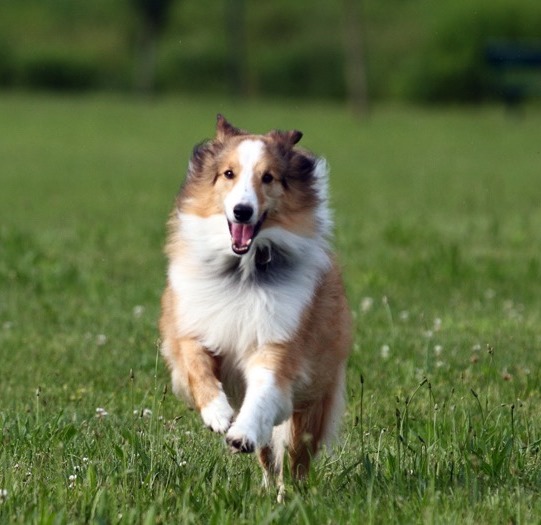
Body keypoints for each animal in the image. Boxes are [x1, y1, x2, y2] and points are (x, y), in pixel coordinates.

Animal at [158, 115, 350, 492]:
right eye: (228, 173)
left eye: (268, 177)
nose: (242, 211)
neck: (243, 273)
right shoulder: (191, 327)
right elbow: (196, 366)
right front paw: (218, 414)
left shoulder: (278, 343)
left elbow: (262, 393)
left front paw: (241, 432)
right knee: (270, 458)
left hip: (312, 403)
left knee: (295, 459)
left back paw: (290, 494)